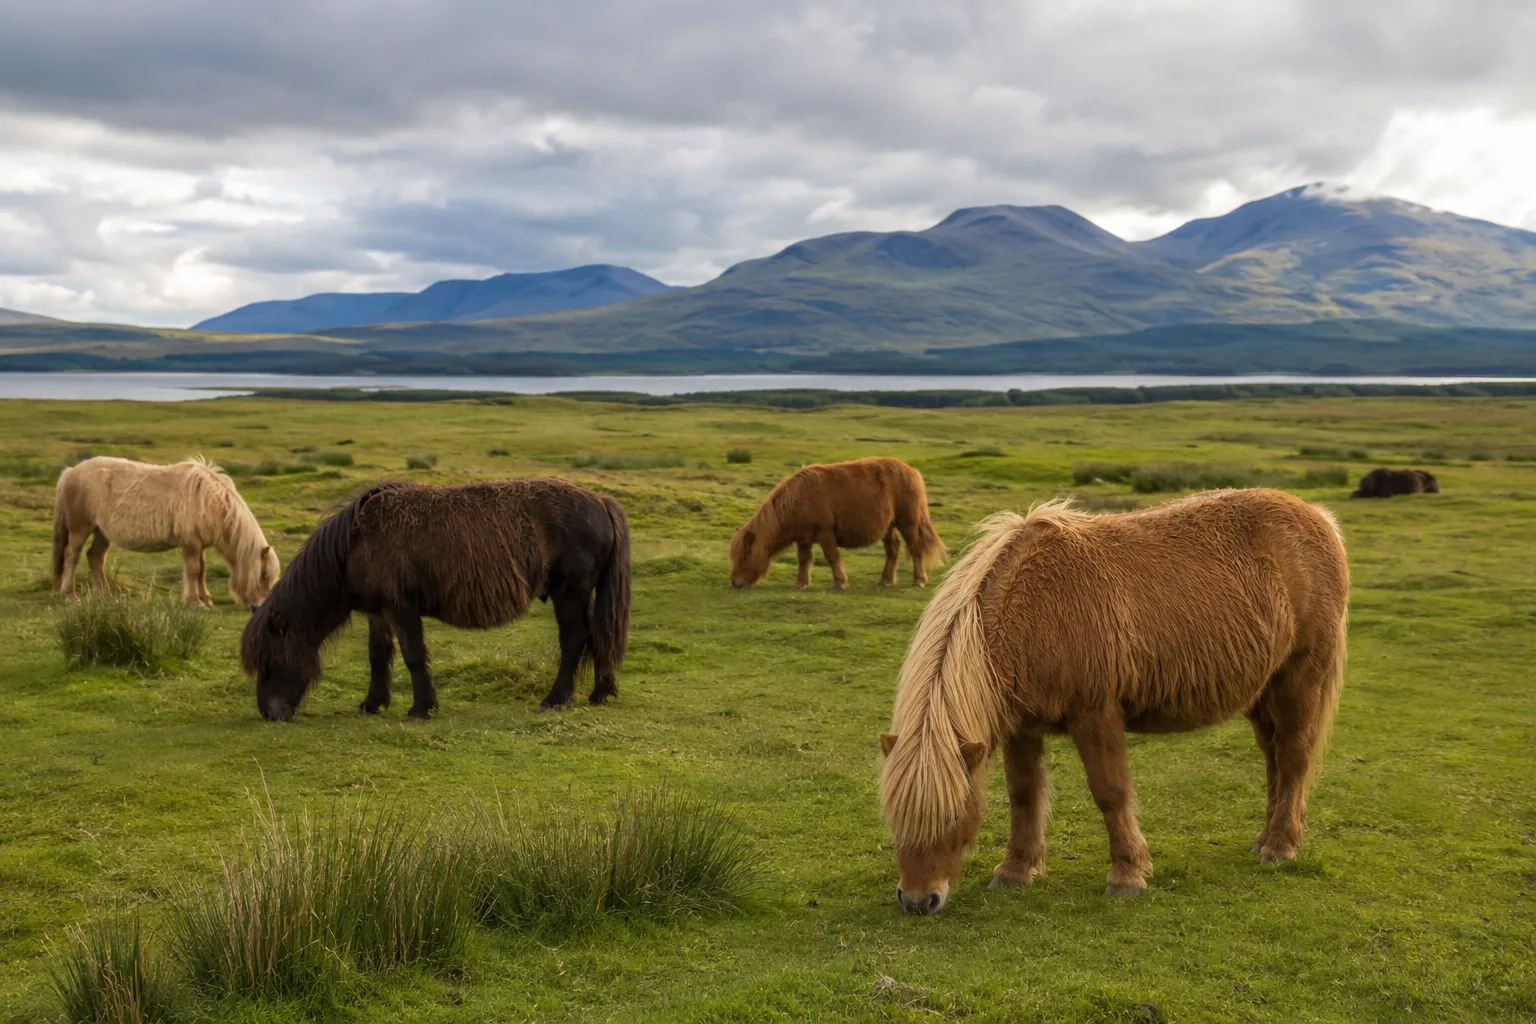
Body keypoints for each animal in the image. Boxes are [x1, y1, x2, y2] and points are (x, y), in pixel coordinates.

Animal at [52, 456, 280, 610]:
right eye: (263, 575)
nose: (258, 607)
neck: (211, 501)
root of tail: (70, 471)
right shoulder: (190, 543)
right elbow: (193, 571)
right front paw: (195, 603)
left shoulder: (199, 545)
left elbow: (202, 571)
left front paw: (206, 600)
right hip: (80, 528)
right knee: (72, 556)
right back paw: (69, 596)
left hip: (102, 532)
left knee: (95, 557)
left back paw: (107, 596)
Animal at [241, 478, 630, 722]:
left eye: (272, 660)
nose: (268, 714)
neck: (356, 541)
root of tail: (601, 502)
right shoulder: (378, 612)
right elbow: (378, 656)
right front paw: (373, 702)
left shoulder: (401, 608)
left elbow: (413, 656)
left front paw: (421, 708)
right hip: (583, 596)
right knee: (598, 636)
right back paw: (600, 693)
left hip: (570, 594)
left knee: (575, 640)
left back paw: (555, 699)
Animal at [729, 457, 947, 589]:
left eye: (745, 555)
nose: (735, 582)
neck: (798, 499)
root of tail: (912, 471)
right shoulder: (803, 539)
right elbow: (803, 560)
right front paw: (800, 583)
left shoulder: (825, 533)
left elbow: (832, 557)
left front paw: (840, 583)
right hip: (888, 526)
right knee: (893, 549)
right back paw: (885, 580)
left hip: (907, 523)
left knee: (915, 548)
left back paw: (919, 580)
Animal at [877, 488, 1348, 913]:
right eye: (893, 814)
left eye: (954, 815)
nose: (918, 900)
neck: (1035, 607)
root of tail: (1320, 518)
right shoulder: (1022, 728)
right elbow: (1023, 794)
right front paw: (1014, 870)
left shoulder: (1096, 715)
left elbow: (1110, 792)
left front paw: (1126, 875)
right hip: (1263, 693)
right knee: (1273, 759)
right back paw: (1266, 837)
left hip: (1299, 680)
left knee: (1292, 756)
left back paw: (1280, 846)